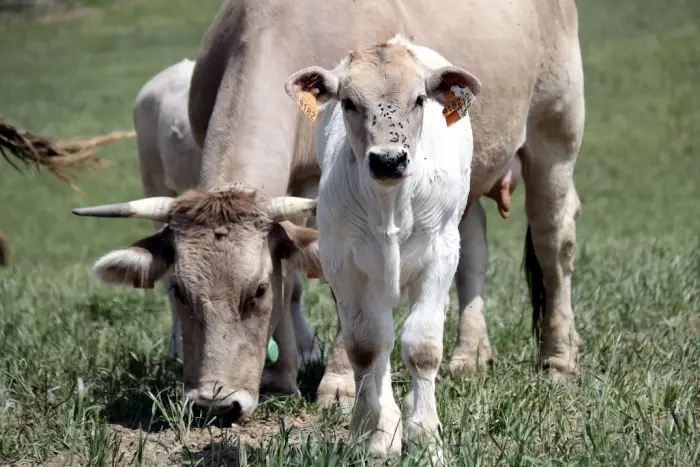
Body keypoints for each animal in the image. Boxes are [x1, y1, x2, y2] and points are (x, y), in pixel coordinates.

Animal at [288, 34, 478, 458]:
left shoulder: (441, 255)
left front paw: (425, 439)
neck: (389, 204)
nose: (389, 160)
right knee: (381, 341)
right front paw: (372, 435)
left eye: (420, 99)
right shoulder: (343, 263)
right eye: (348, 101)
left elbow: (422, 347)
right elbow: (366, 348)